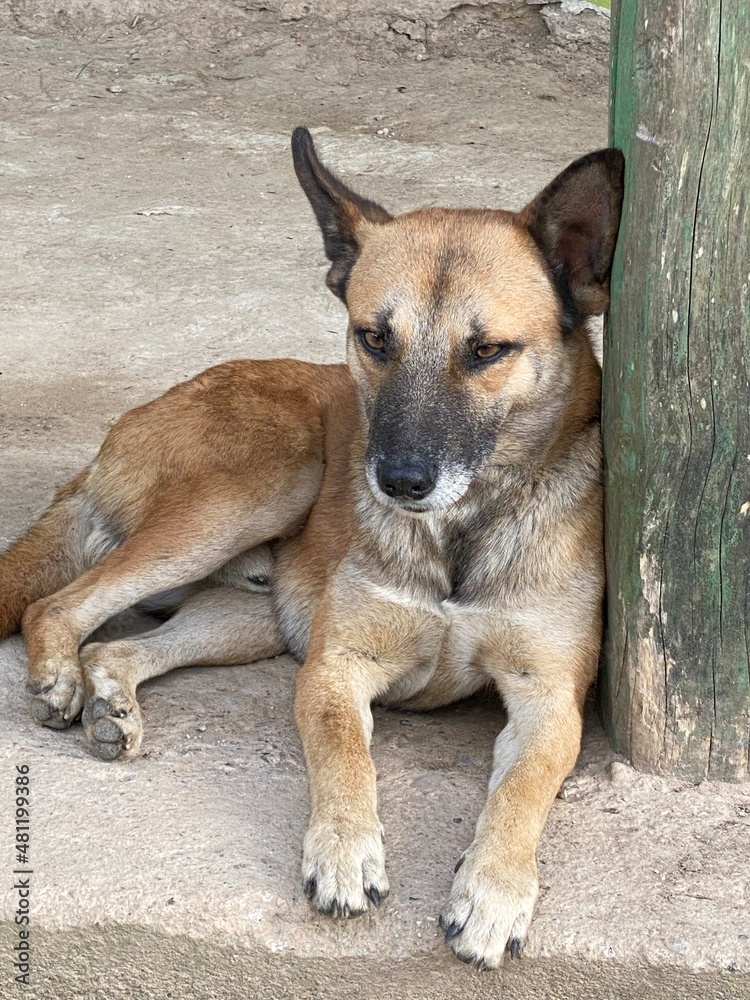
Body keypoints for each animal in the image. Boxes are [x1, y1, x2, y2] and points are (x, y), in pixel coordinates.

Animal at [0, 133, 624, 968]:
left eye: (488, 350)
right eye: (375, 338)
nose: (398, 480)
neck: (461, 531)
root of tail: (120, 431)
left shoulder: (548, 698)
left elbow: (524, 788)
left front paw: (493, 891)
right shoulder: (336, 666)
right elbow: (341, 754)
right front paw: (344, 851)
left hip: (248, 618)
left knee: (115, 645)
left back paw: (110, 702)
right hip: (260, 486)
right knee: (56, 603)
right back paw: (60, 679)